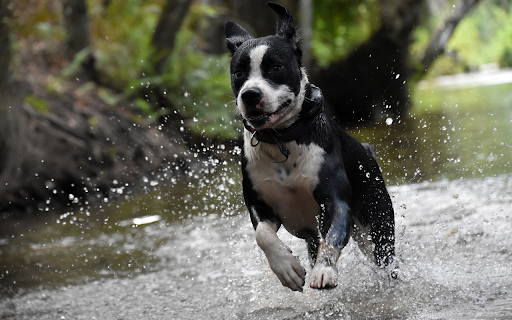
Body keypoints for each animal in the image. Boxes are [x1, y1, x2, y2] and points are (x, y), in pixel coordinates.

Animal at [224, 1, 396, 292]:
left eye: (275, 68)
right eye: (238, 73)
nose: (250, 95)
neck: (282, 140)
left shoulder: (336, 202)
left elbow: (333, 237)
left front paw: (324, 270)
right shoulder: (260, 205)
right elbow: (263, 235)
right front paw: (286, 268)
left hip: (378, 227)